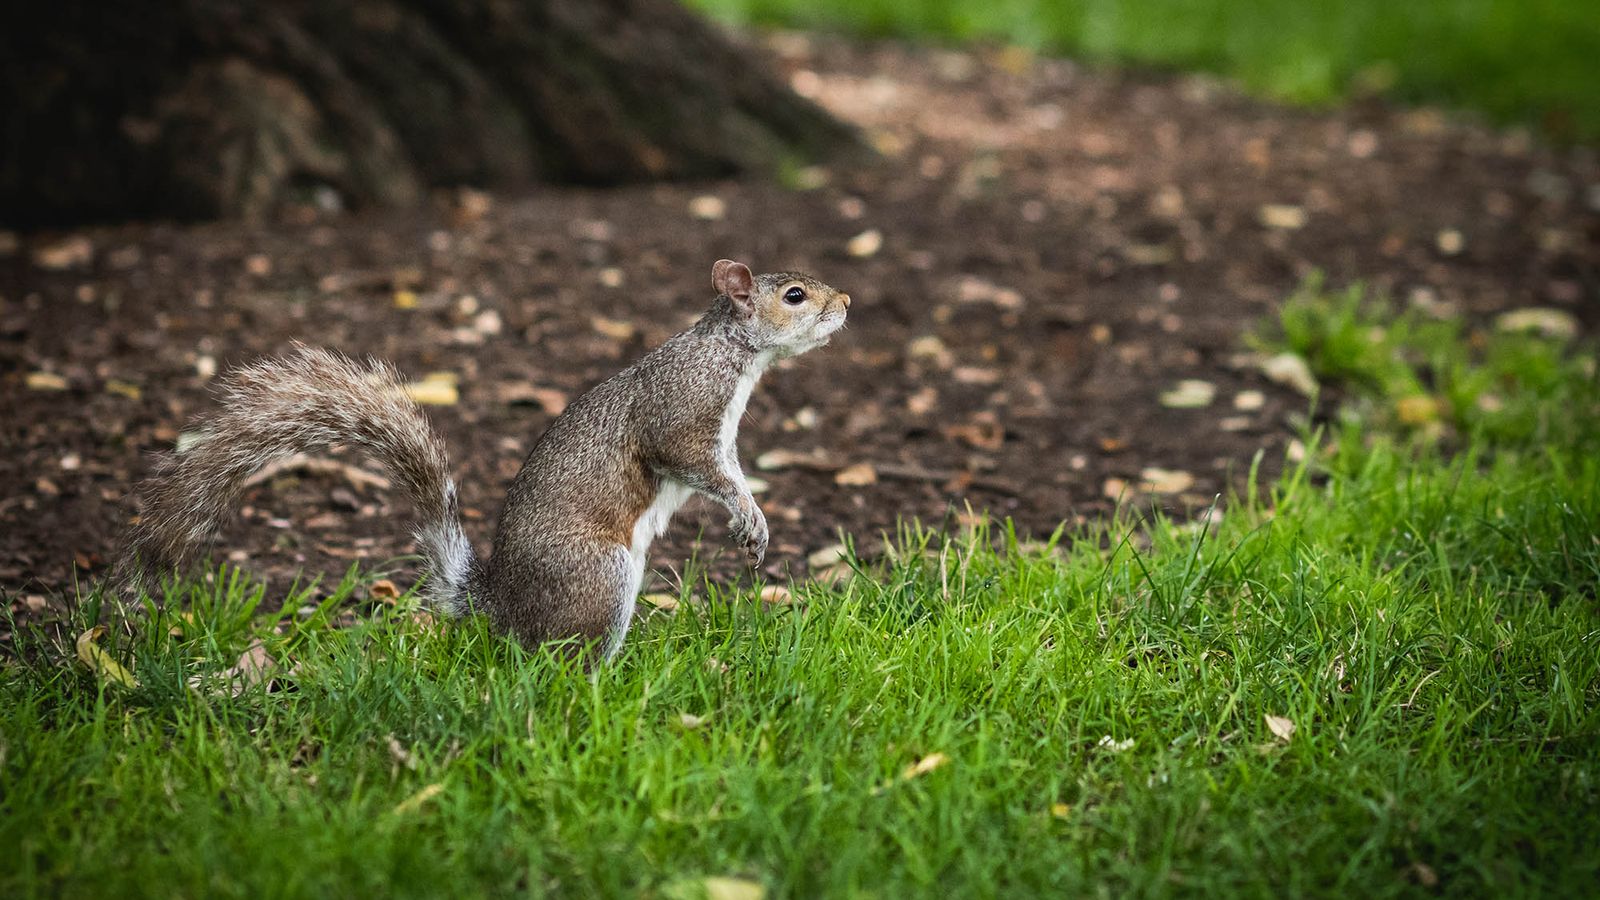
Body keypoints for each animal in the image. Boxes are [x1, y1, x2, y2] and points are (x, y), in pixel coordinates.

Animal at [121, 259, 851, 659]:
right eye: (793, 295)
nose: (846, 301)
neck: (732, 353)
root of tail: (498, 610)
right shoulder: (685, 414)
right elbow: (700, 465)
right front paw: (749, 517)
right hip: (599, 576)